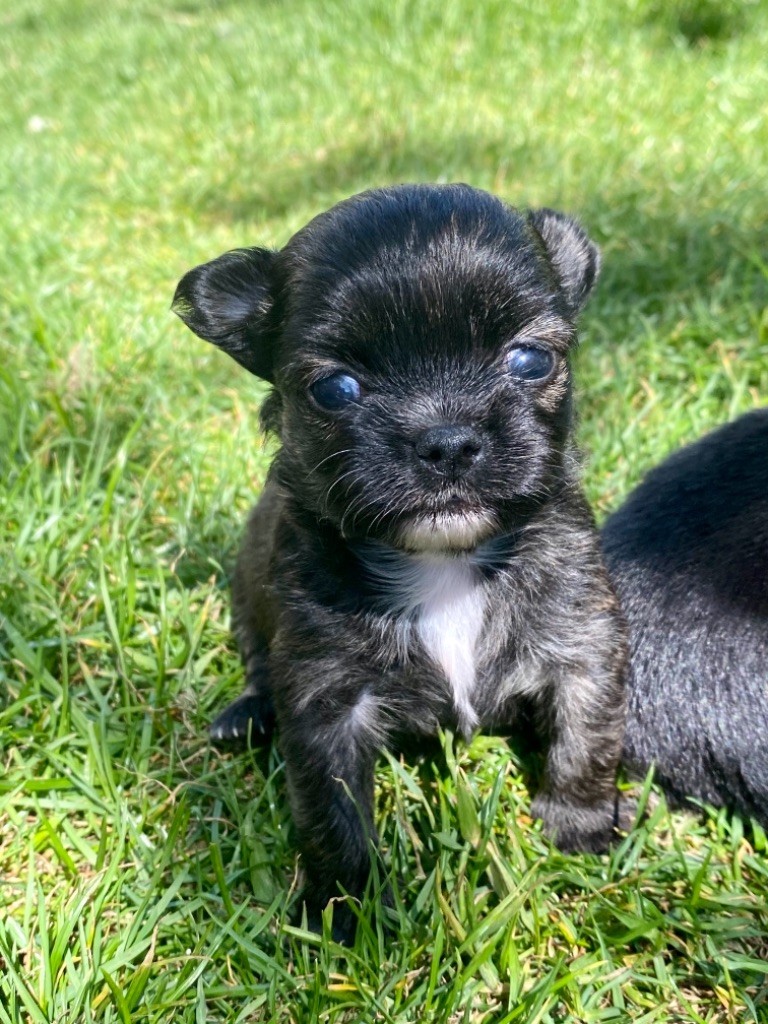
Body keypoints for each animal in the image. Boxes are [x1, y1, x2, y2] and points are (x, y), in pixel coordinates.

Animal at [176, 184, 630, 937]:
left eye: (530, 361)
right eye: (335, 389)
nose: (446, 440)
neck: (444, 563)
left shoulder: (582, 637)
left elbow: (586, 733)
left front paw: (579, 825)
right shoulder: (327, 700)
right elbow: (333, 813)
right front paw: (347, 912)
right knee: (257, 664)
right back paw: (244, 716)